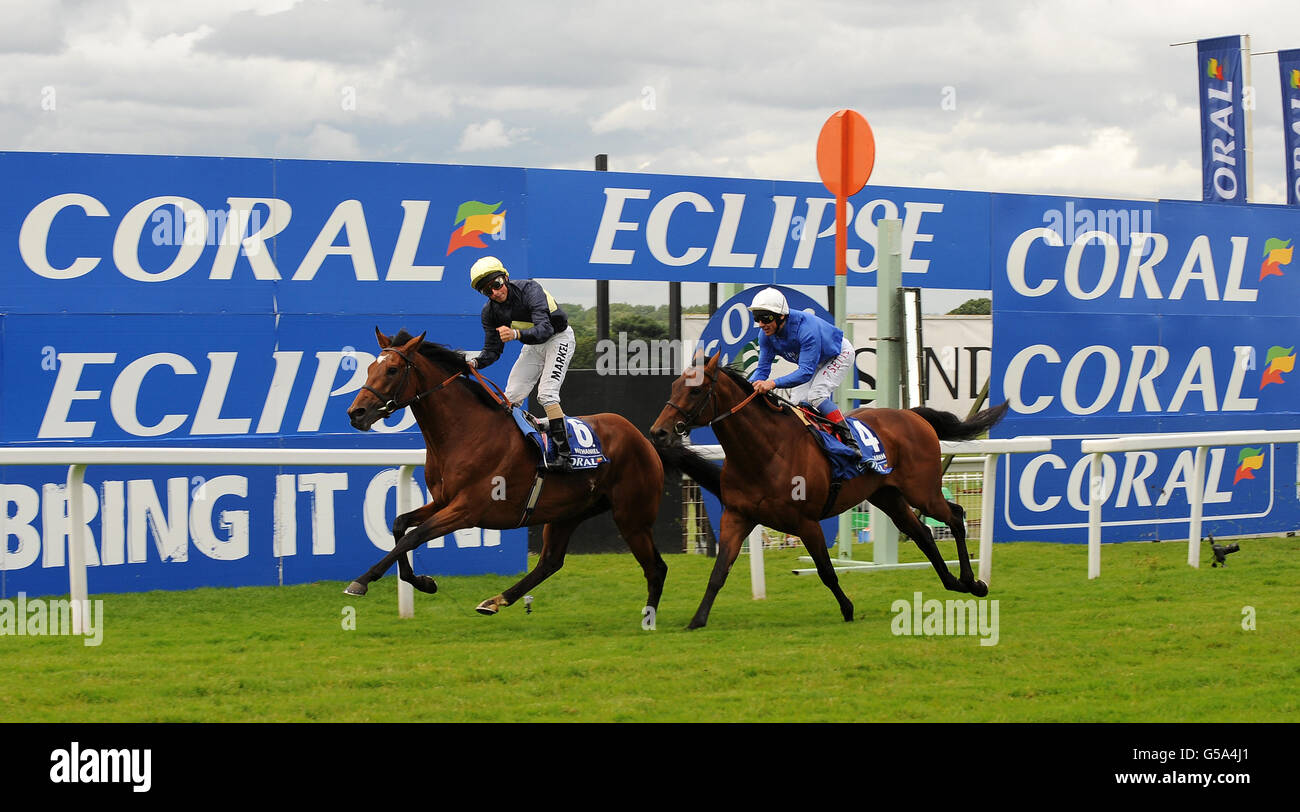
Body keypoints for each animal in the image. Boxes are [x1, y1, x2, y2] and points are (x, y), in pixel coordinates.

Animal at [343, 326, 670, 623]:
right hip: (569, 512)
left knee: (656, 567)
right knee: (550, 562)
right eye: (370, 368)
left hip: (631, 516)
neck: (465, 431)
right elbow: (400, 525)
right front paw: (423, 582)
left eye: (392, 370)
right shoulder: (443, 501)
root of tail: (641, 438)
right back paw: (495, 600)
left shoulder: (466, 510)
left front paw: (362, 580)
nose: (356, 413)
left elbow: (415, 536)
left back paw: (649, 619)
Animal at [647, 353, 1003, 626]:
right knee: (922, 534)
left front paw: (848, 609)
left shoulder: (806, 522)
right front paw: (697, 620)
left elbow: (826, 571)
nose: (658, 432)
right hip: (887, 495)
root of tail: (912, 415)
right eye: (675, 386)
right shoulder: (737, 516)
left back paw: (973, 582)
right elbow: (719, 571)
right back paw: (953, 582)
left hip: (922, 490)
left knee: (954, 516)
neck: (766, 451)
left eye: (695, 391)